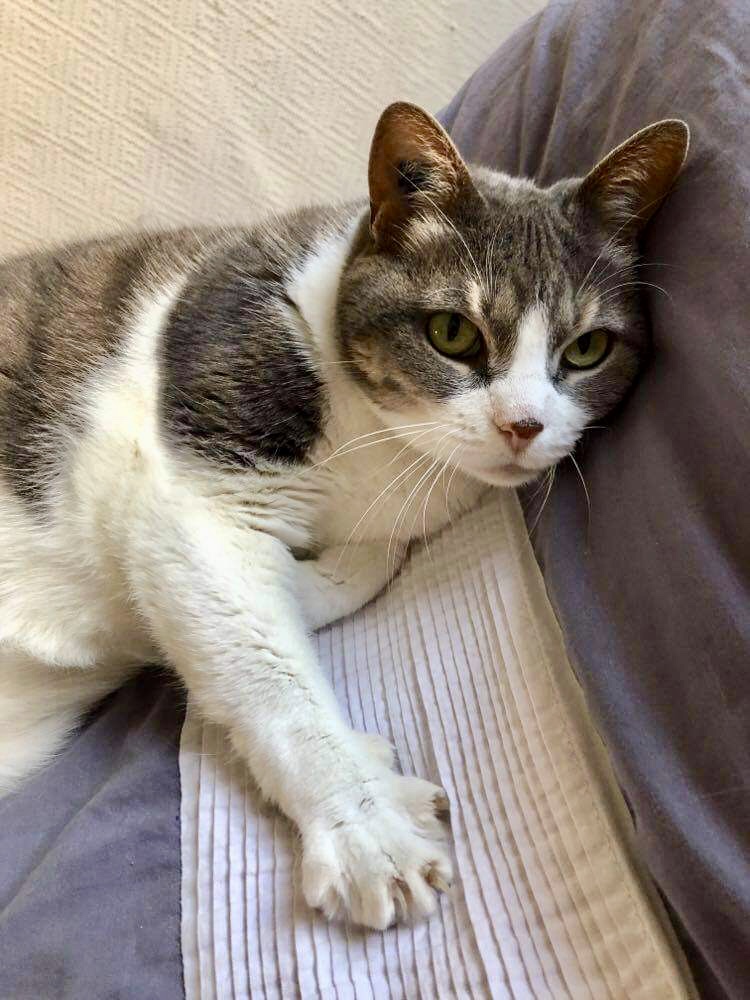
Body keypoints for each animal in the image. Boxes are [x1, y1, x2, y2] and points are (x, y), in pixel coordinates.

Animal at [0, 102, 688, 929]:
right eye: (453, 333)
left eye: (588, 349)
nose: (523, 425)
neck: (380, 442)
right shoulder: (198, 500)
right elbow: (264, 669)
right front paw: (368, 829)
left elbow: (341, 574)